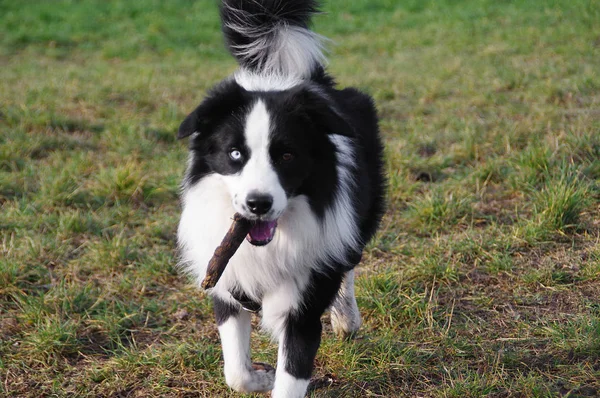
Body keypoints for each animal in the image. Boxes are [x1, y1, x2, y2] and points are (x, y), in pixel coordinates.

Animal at [177, 1, 384, 396]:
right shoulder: (226, 282)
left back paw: (346, 317)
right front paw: (261, 376)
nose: (258, 204)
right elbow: (236, 373)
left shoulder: (303, 306)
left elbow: (292, 371)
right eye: (235, 154)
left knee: (350, 260)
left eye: (287, 156)